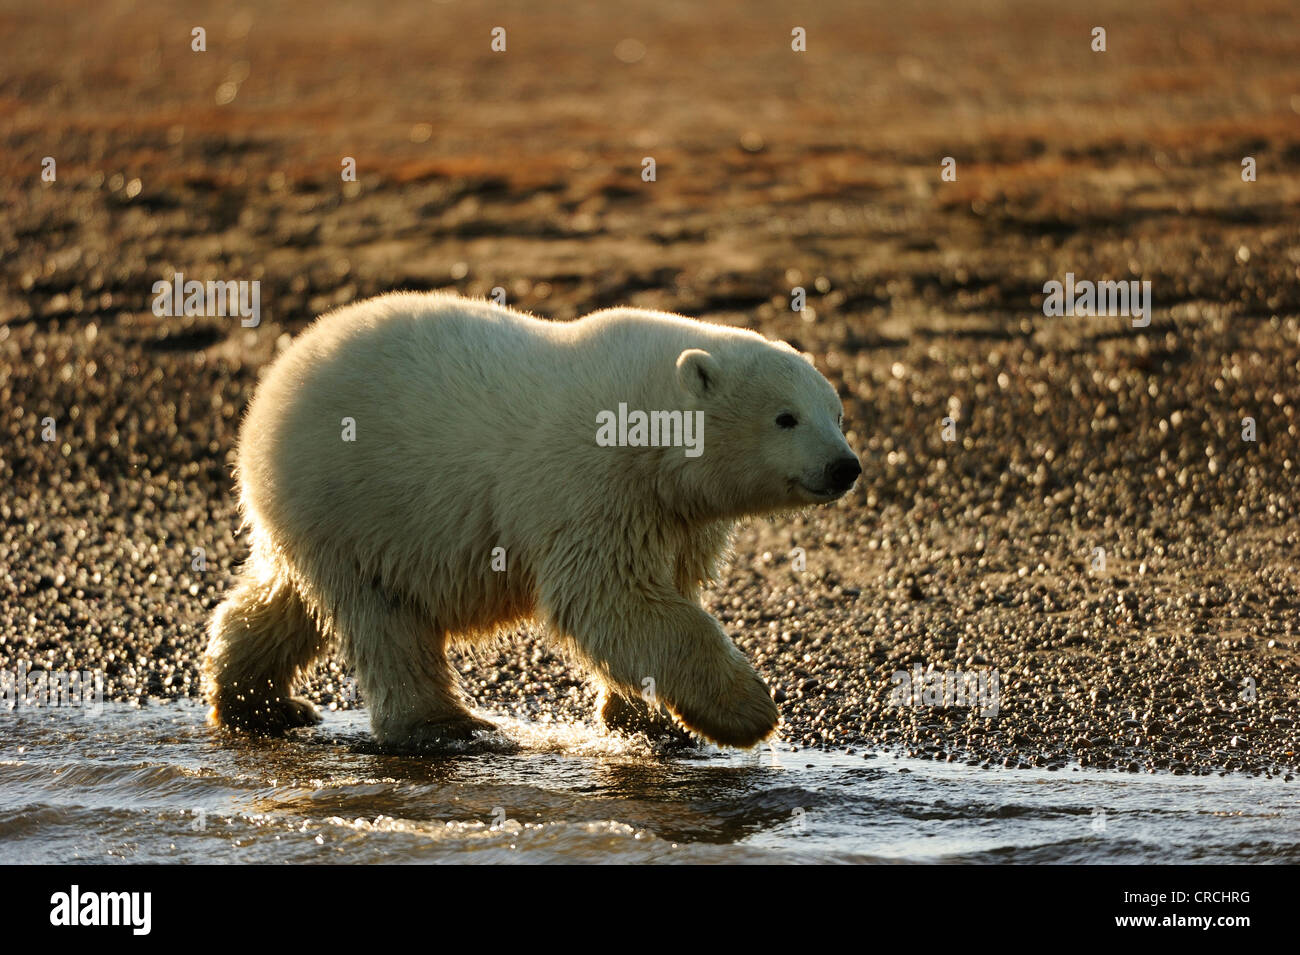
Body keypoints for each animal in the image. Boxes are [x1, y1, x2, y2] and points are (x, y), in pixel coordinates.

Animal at [202, 294, 857, 748]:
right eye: (786, 417)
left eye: (837, 413)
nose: (844, 466)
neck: (647, 428)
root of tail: (270, 389)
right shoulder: (591, 484)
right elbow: (609, 597)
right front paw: (748, 711)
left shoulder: (674, 516)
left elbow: (658, 591)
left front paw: (640, 718)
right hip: (348, 499)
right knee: (384, 618)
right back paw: (444, 724)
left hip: (320, 517)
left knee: (283, 600)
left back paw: (257, 703)